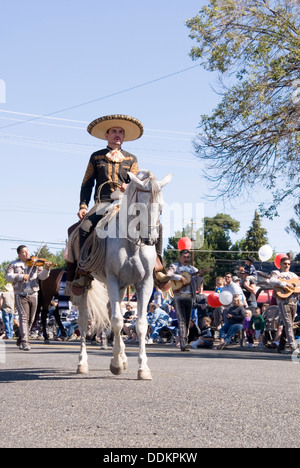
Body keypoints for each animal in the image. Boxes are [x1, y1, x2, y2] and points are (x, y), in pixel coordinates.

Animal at [72, 170, 173, 378]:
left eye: (160, 207)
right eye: (140, 206)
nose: (151, 239)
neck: (132, 244)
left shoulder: (144, 283)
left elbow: (141, 324)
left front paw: (143, 368)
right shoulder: (112, 279)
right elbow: (118, 321)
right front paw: (116, 364)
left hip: (122, 287)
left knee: (111, 309)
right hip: (87, 287)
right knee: (84, 322)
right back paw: (82, 363)